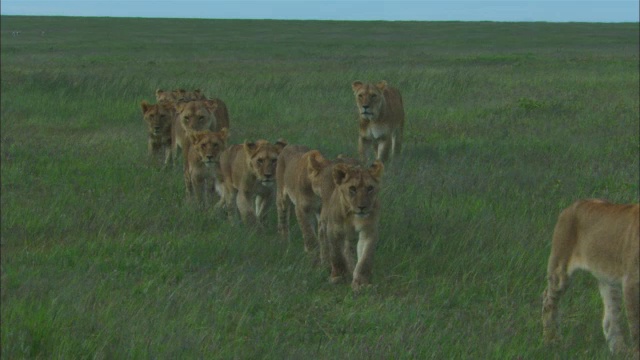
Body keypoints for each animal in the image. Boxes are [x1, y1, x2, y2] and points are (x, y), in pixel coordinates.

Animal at [322, 159, 382, 292]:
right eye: (352, 188)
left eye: (370, 188)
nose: (362, 207)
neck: (353, 216)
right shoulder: (334, 230)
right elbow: (337, 255)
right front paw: (339, 276)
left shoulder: (369, 231)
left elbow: (365, 260)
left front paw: (361, 283)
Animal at [544, 198, 636, 356]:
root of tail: (575, 203)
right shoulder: (631, 282)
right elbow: (637, 327)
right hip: (560, 269)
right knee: (548, 300)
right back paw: (552, 342)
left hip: (608, 281)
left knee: (609, 320)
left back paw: (619, 352)